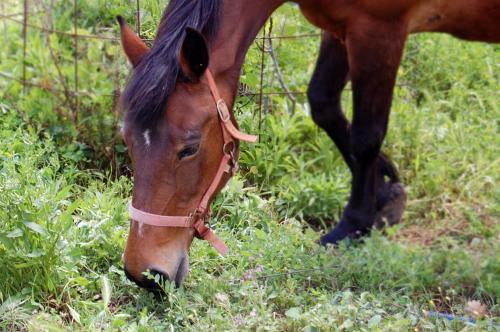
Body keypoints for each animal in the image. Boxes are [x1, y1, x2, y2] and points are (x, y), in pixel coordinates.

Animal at [116, 0, 496, 290]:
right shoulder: (342, 28)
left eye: (189, 148)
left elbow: (366, 134)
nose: (144, 274)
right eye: (129, 141)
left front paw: (352, 226)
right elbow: (323, 104)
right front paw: (386, 193)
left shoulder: (378, 31)